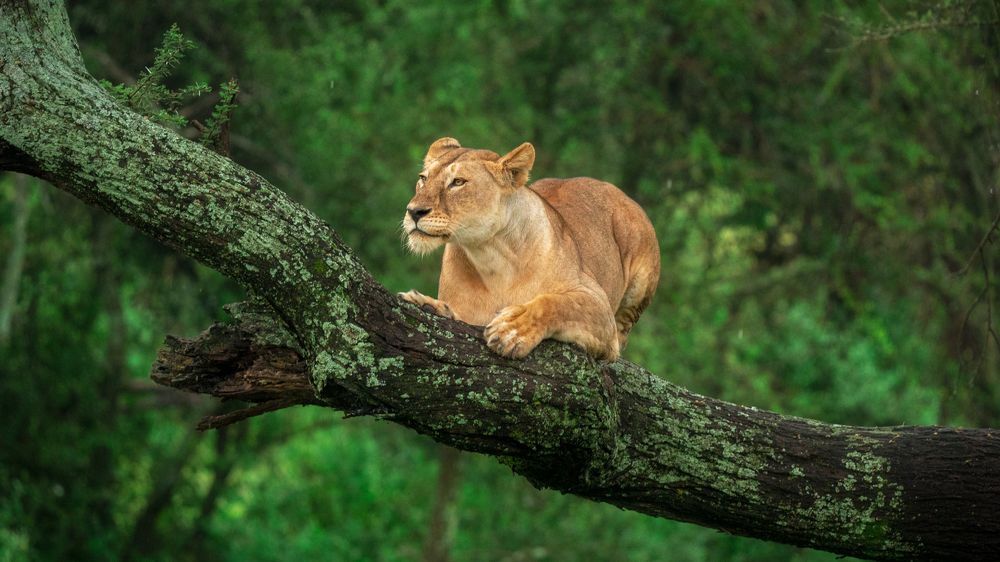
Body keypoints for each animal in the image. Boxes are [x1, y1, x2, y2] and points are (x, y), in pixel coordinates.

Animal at [399, 137, 660, 361]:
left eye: (458, 182)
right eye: (423, 178)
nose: (414, 211)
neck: (491, 258)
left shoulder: (596, 302)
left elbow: (556, 304)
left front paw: (513, 329)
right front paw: (427, 304)